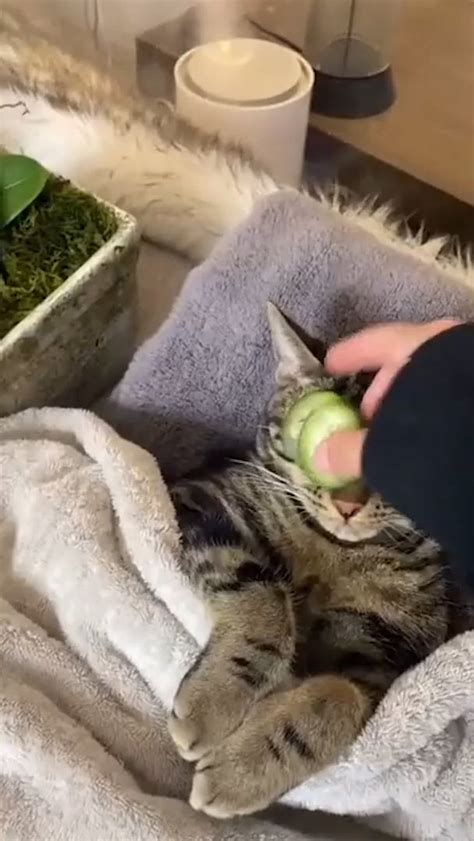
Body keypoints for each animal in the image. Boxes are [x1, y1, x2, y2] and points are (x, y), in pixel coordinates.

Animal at [169, 306, 448, 816]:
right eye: (318, 440)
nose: (348, 504)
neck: (336, 548)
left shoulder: (382, 656)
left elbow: (341, 697)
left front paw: (243, 770)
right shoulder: (205, 495)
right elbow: (266, 596)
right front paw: (213, 700)